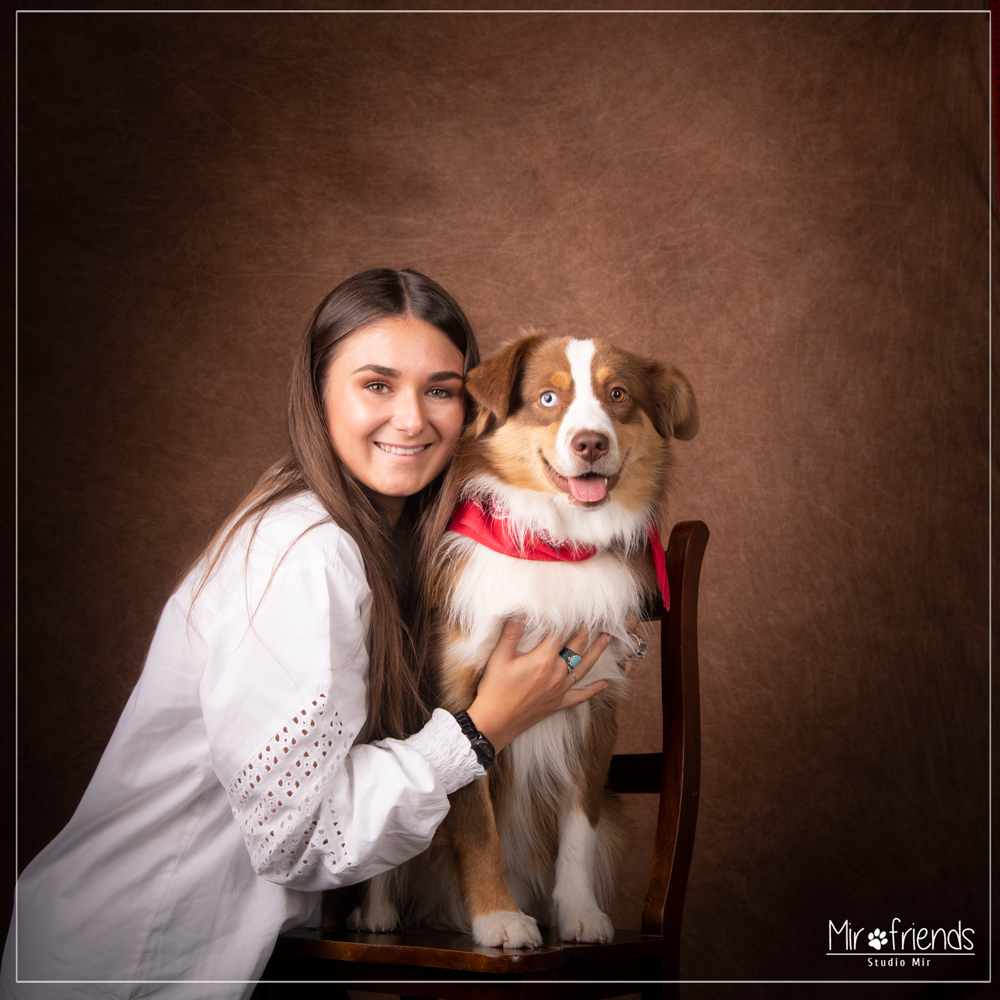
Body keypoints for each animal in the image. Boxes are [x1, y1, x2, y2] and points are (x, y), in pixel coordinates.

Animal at [350, 332, 696, 948]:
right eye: (548, 398)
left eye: (617, 395)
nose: (590, 443)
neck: (553, 545)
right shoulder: (458, 702)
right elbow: (477, 825)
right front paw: (497, 918)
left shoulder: (594, 704)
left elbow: (580, 825)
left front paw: (579, 912)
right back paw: (378, 912)